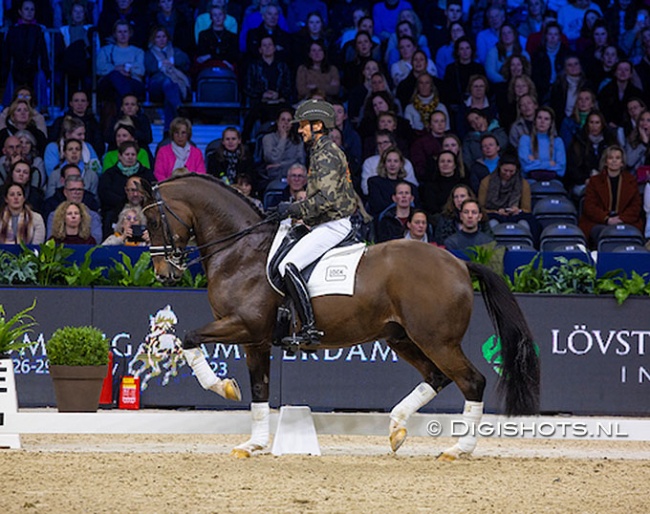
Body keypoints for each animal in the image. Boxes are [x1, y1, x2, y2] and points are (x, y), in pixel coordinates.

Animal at [140, 174, 536, 458]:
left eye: (154, 220)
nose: (163, 273)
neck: (240, 251)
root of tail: (459, 263)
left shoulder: (244, 326)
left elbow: (188, 338)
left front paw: (221, 387)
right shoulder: (255, 340)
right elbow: (259, 390)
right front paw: (253, 444)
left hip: (437, 340)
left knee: (471, 381)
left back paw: (457, 449)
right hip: (402, 337)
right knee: (437, 377)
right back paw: (396, 429)